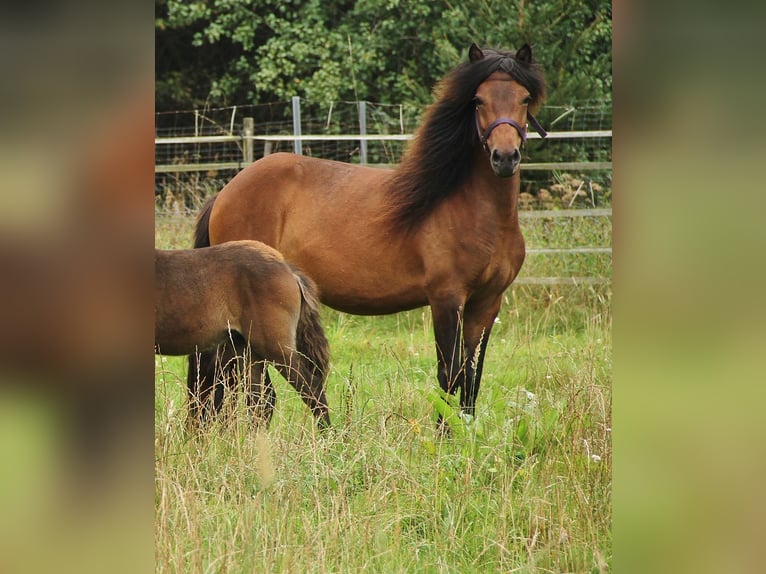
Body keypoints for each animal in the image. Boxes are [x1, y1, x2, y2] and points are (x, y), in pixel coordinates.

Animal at [195, 45, 548, 430]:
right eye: (479, 100)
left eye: (524, 98)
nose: (505, 157)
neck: (477, 213)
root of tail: (226, 193)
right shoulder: (446, 299)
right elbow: (449, 374)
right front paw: (444, 436)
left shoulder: (487, 302)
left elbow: (472, 378)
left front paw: (466, 433)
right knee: (246, 383)